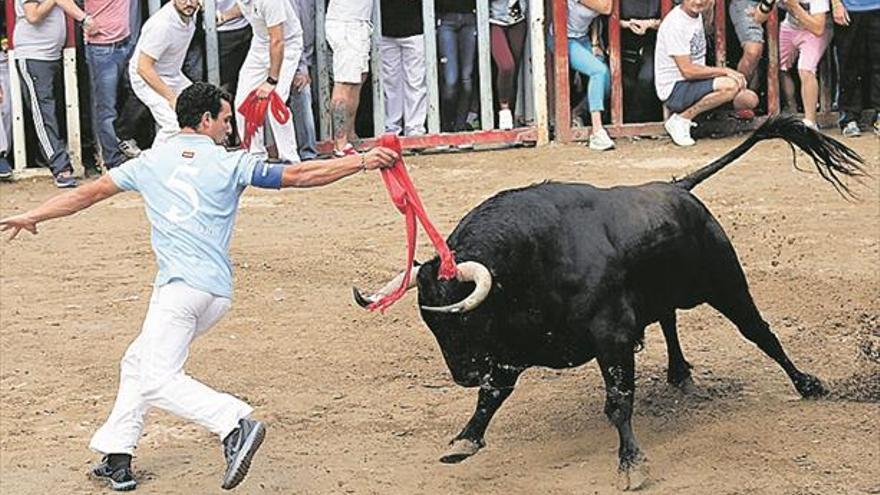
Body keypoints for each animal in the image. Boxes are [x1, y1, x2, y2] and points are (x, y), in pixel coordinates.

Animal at [354, 117, 864, 492]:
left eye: (465, 320)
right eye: (434, 327)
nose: (462, 375)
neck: (531, 260)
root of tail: (678, 186)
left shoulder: (611, 335)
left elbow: (620, 400)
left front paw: (631, 464)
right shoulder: (514, 349)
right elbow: (492, 396)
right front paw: (464, 440)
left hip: (725, 284)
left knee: (760, 332)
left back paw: (806, 384)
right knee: (669, 319)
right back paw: (680, 373)